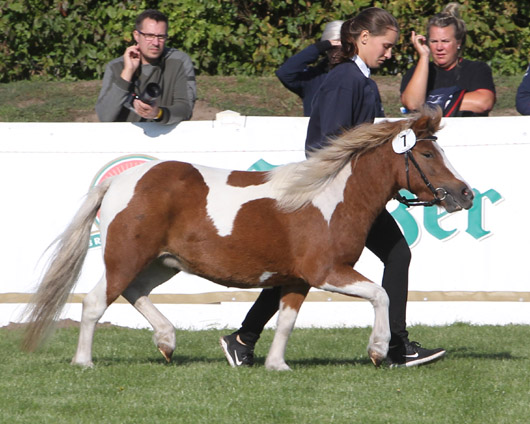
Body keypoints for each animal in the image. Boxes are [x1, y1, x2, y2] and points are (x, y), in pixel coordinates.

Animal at [22, 108, 472, 368]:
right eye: (428, 154)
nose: (465, 194)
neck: (331, 197)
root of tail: (119, 181)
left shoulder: (296, 279)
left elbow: (286, 321)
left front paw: (275, 365)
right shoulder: (327, 271)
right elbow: (380, 294)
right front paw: (379, 350)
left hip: (163, 263)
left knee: (135, 292)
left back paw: (167, 342)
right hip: (125, 256)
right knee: (96, 302)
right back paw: (85, 362)